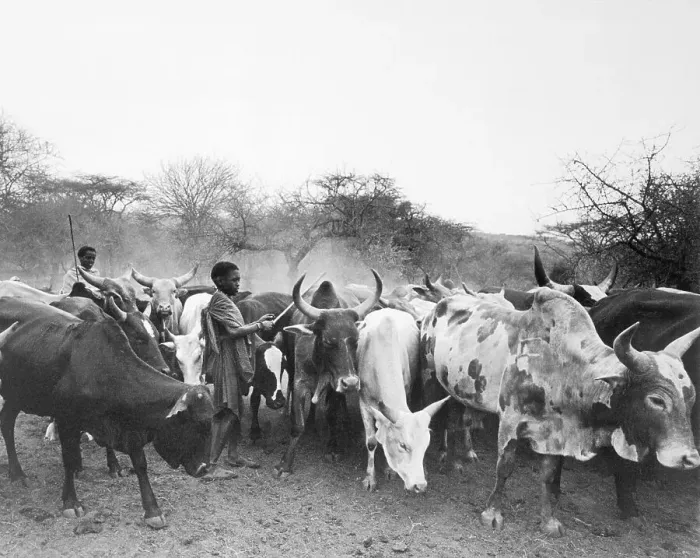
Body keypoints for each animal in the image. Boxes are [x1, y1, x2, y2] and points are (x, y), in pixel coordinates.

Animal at [0, 297, 213, 528]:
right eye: (190, 424)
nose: (203, 468)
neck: (102, 370)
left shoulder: (126, 424)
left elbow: (139, 463)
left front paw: (152, 509)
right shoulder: (67, 420)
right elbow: (67, 459)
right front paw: (71, 502)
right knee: (7, 426)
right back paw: (18, 473)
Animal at [275, 270, 382, 477]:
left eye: (356, 340)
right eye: (327, 341)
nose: (351, 383)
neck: (320, 365)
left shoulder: (336, 386)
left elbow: (332, 414)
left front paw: (333, 449)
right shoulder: (300, 382)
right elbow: (297, 424)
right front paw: (284, 464)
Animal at [358, 308, 449, 492]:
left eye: (426, 446)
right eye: (403, 445)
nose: (420, 485)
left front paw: (389, 470)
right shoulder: (363, 401)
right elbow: (371, 442)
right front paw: (370, 478)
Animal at [421, 287, 700, 536]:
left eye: (690, 397)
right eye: (656, 400)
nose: (689, 458)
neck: (561, 368)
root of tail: (437, 306)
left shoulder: (554, 433)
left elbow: (548, 476)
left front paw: (549, 522)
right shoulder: (510, 422)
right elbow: (504, 468)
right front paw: (492, 514)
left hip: (458, 389)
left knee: (456, 419)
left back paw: (455, 461)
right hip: (431, 380)